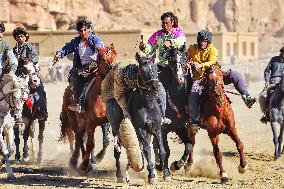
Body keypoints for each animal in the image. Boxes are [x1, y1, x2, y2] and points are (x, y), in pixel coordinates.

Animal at [105, 53, 170, 185]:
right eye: (143, 71)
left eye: (155, 68)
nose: (155, 87)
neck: (148, 105)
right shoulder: (140, 129)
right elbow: (146, 150)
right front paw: (151, 176)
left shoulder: (157, 128)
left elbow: (161, 150)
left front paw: (164, 173)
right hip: (115, 129)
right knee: (117, 152)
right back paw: (119, 175)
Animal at [154, 46, 194, 174]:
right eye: (171, 60)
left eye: (184, 59)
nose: (179, 78)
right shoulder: (163, 129)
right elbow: (166, 150)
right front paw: (166, 170)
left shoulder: (180, 127)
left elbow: (189, 146)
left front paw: (176, 165)